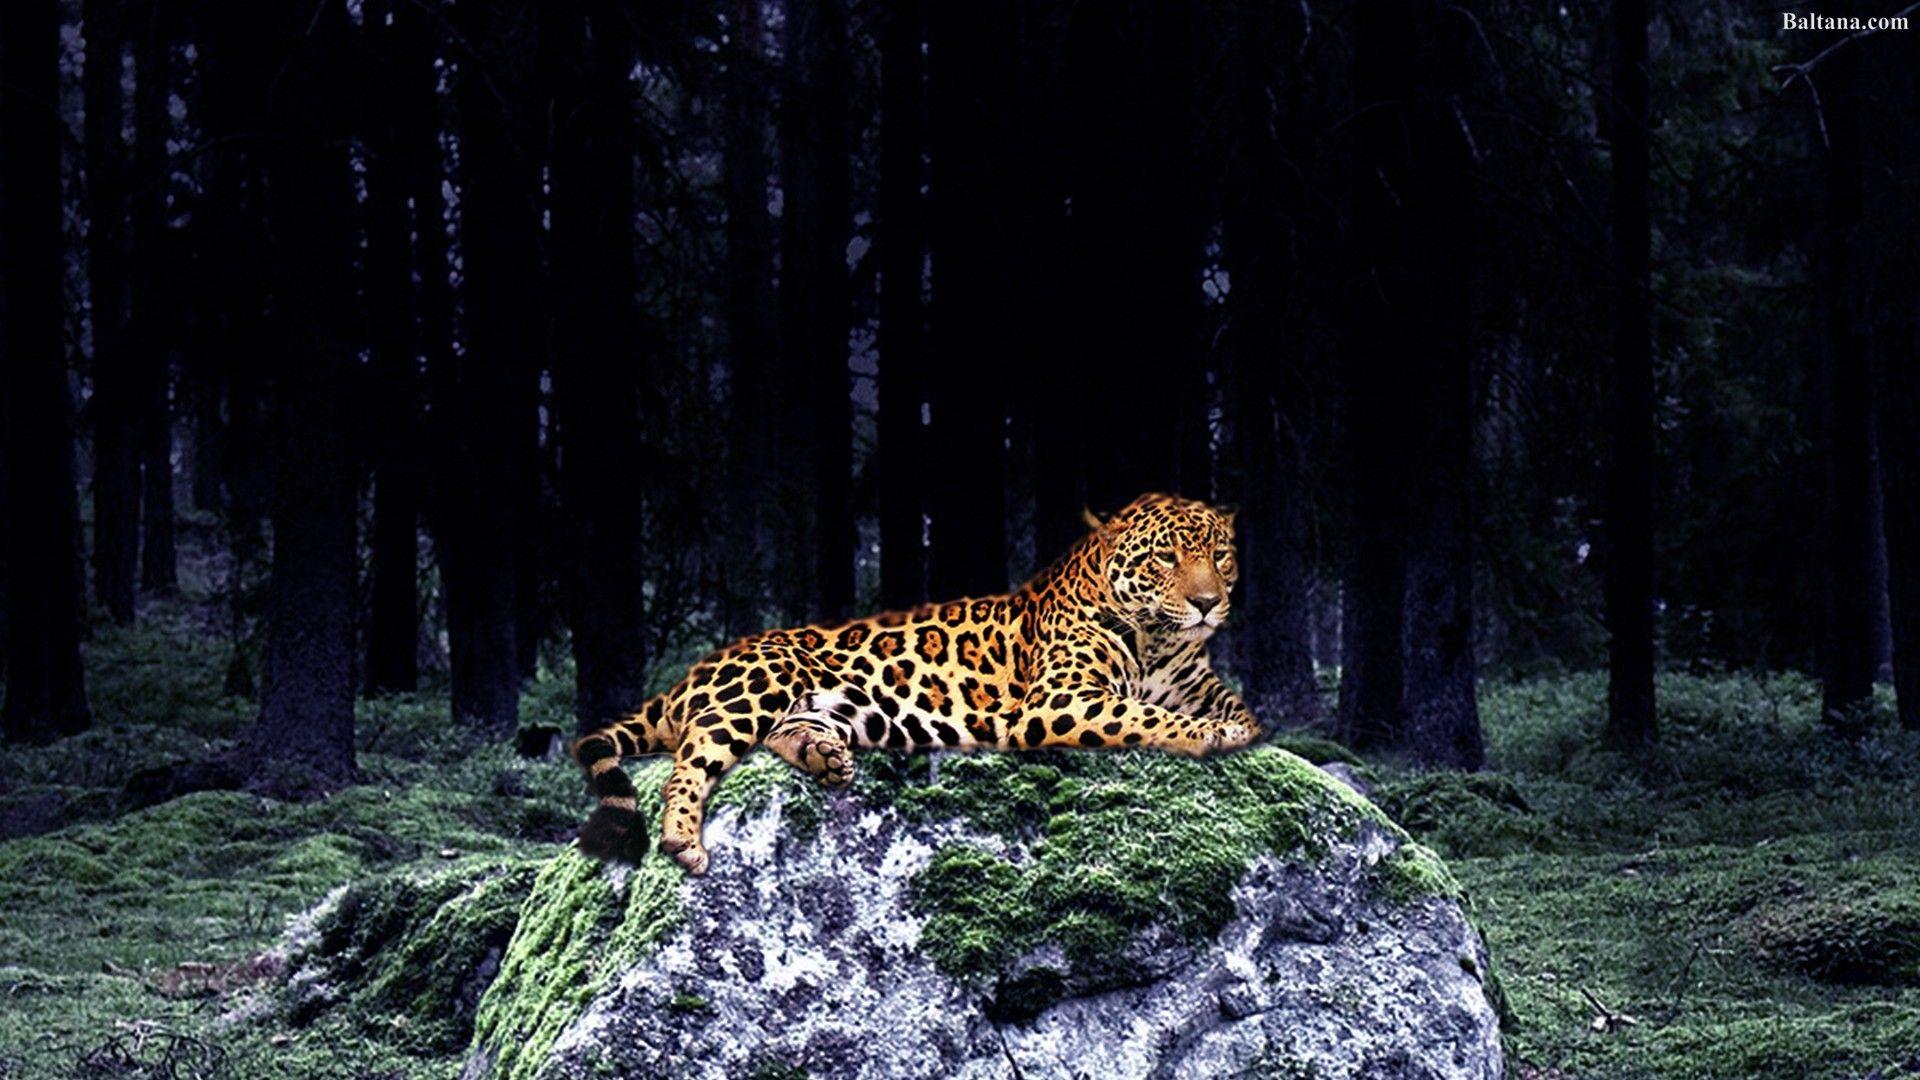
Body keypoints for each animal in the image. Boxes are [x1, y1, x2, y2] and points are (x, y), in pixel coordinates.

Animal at [572, 492, 1262, 875]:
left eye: (1220, 557)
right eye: (1165, 558)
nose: (1208, 603)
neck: (1158, 640)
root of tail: (697, 668)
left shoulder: (1194, 680)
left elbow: (1241, 710)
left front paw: (1234, 726)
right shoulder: (1057, 702)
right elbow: (1145, 716)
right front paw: (1206, 734)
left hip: (828, 706)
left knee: (783, 733)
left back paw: (823, 757)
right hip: (756, 687)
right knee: (689, 761)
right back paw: (683, 839)